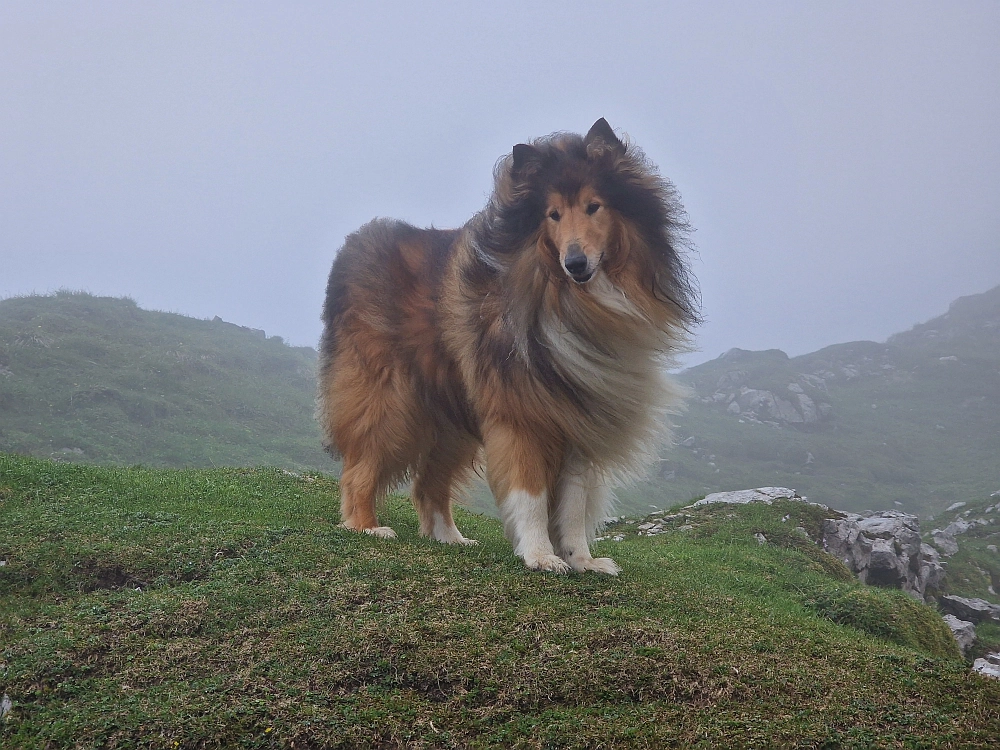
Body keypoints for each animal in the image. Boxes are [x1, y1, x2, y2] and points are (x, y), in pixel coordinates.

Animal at [318, 119, 696, 576]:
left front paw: (581, 560)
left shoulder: (580, 414)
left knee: (428, 483)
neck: (571, 301)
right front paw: (540, 555)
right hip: (389, 398)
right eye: (552, 214)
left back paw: (449, 537)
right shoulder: (520, 413)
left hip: (453, 415)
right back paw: (366, 526)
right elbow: (530, 494)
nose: (575, 263)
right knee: (360, 468)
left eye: (594, 206)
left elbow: (573, 504)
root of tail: (352, 246)